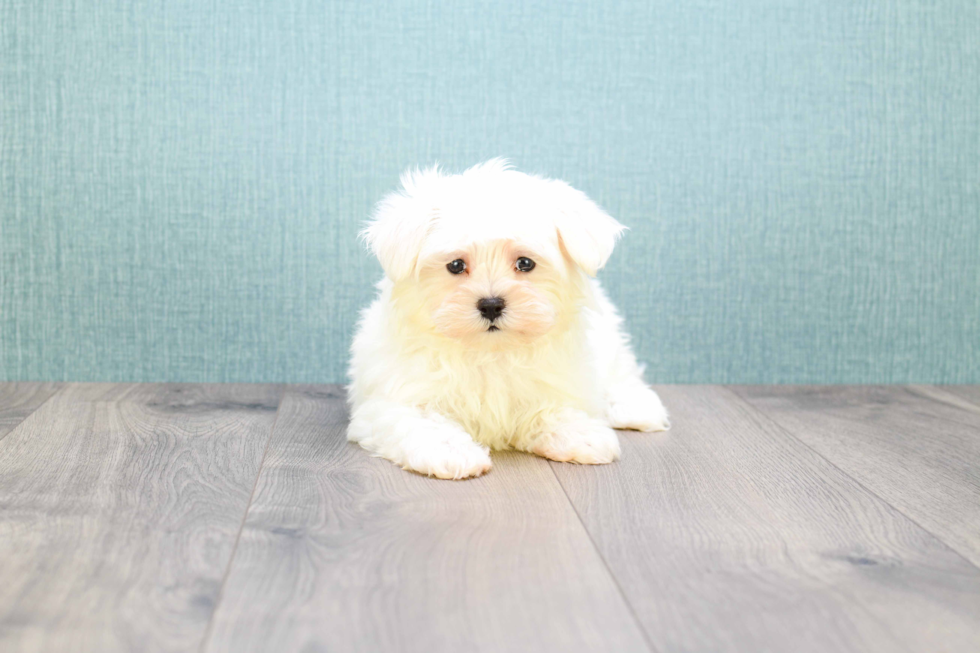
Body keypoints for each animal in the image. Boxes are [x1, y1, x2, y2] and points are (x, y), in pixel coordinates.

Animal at [348, 160, 668, 476]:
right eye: (456, 265)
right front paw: (453, 452)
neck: (490, 353)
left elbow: (551, 407)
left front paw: (580, 433)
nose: (491, 305)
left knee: (620, 373)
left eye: (525, 263)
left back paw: (634, 408)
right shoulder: (389, 401)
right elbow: (419, 422)